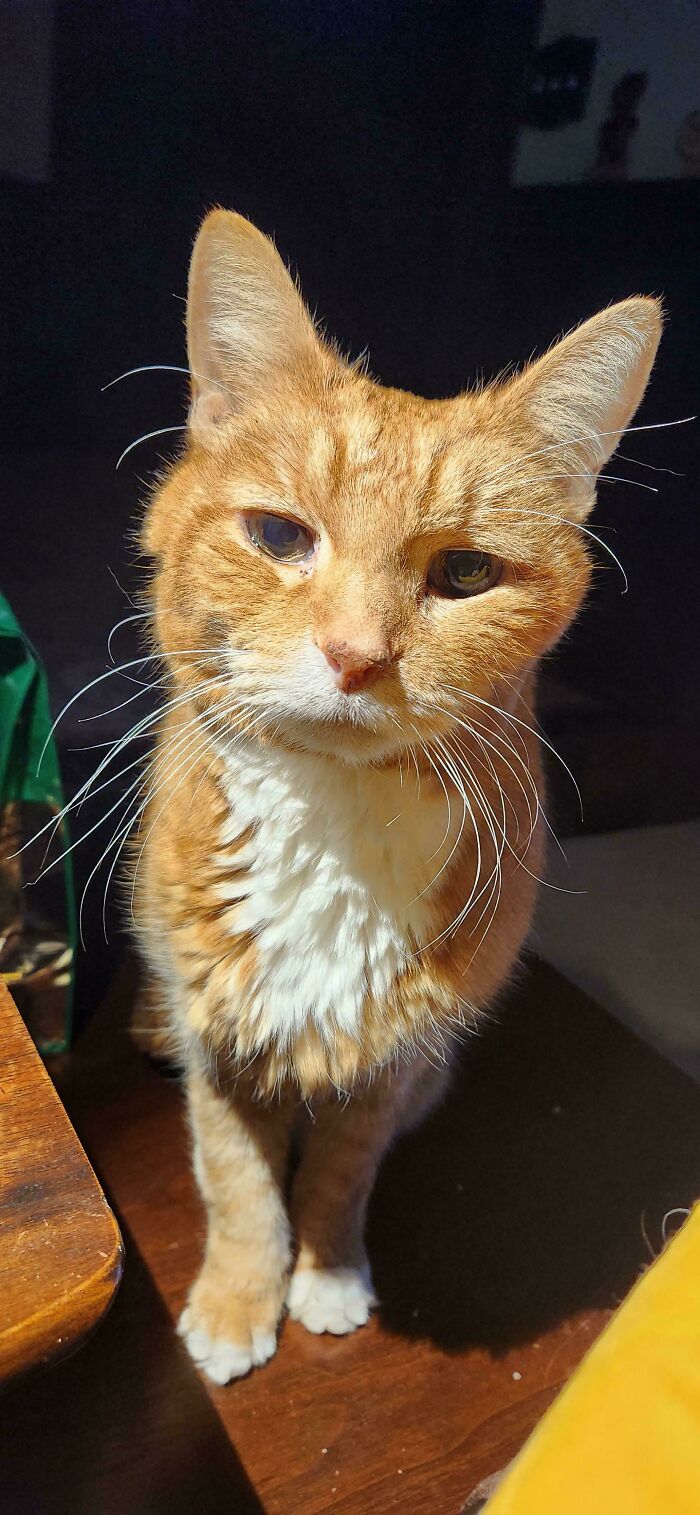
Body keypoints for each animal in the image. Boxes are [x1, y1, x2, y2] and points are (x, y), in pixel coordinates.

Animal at [132, 213, 660, 1387]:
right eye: (280, 538)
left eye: (464, 574)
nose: (356, 655)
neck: (329, 832)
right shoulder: (215, 1025)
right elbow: (235, 1177)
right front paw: (240, 1298)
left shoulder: (396, 1052)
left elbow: (342, 1168)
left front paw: (327, 1271)